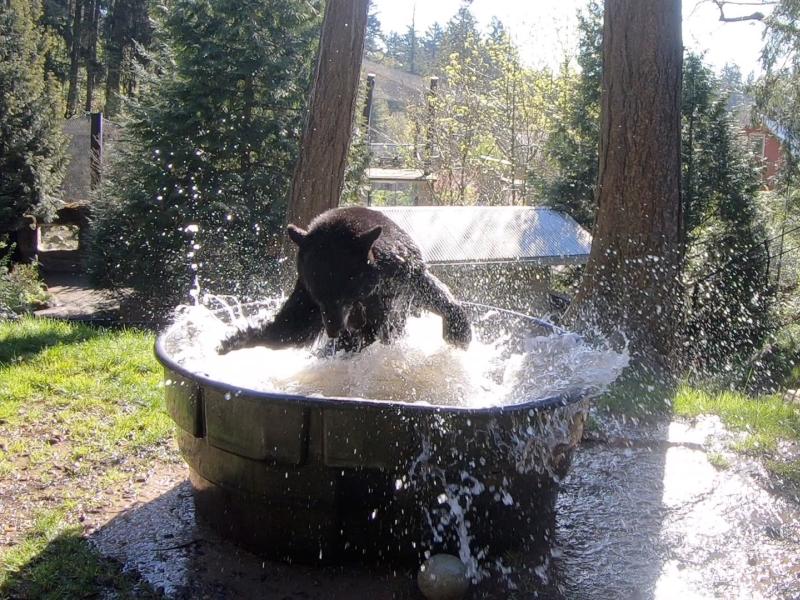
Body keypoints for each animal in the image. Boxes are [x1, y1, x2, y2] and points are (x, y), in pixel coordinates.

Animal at [217, 206, 472, 354]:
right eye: (319, 299)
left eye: (342, 296)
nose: (333, 330)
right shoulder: (306, 289)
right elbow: (294, 325)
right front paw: (234, 339)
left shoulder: (400, 279)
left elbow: (430, 292)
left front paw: (459, 334)